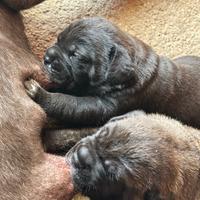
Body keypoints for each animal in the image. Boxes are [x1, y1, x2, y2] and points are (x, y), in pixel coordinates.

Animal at [25, 16, 200, 126]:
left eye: (75, 55)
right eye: (58, 39)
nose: (47, 57)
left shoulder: (106, 105)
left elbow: (71, 103)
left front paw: (40, 94)